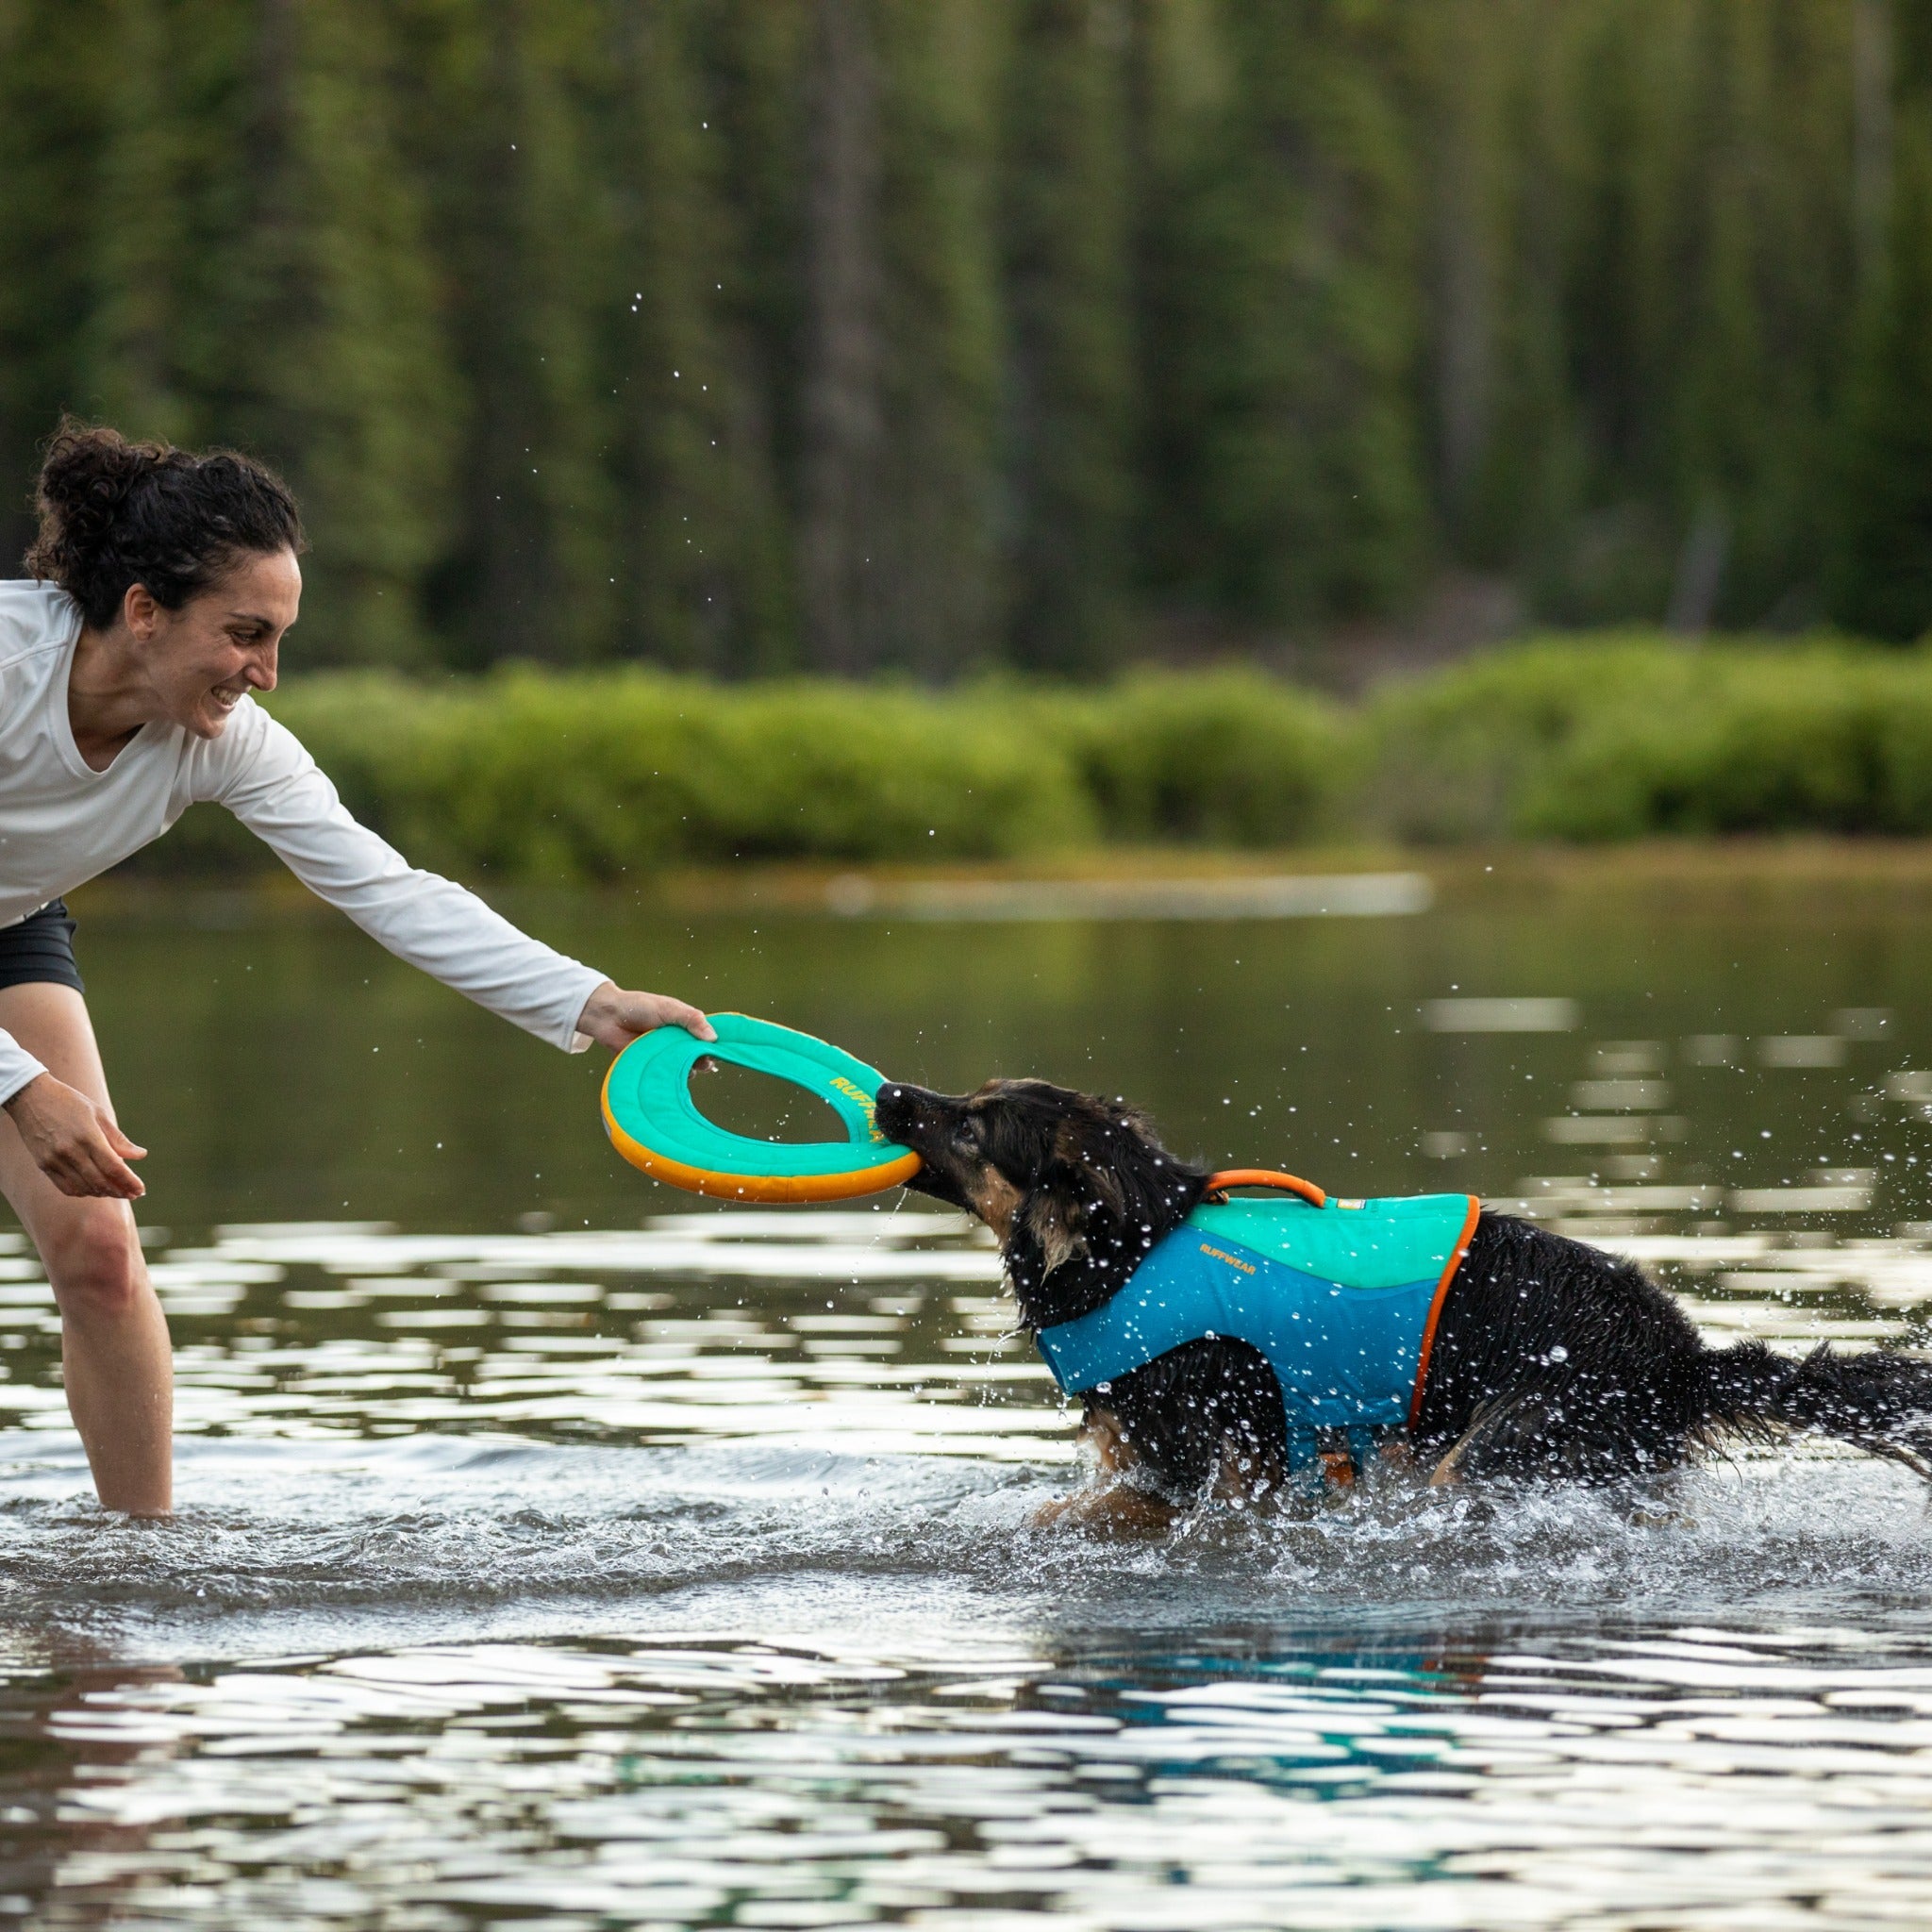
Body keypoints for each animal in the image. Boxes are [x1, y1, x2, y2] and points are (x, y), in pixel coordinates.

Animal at [873, 1081, 1932, 1530]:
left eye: (972, 1126)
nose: (888, 1094)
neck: (1133, 1244)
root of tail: (1683, 1355)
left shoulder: (1225, 1464)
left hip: (1505, 1445)